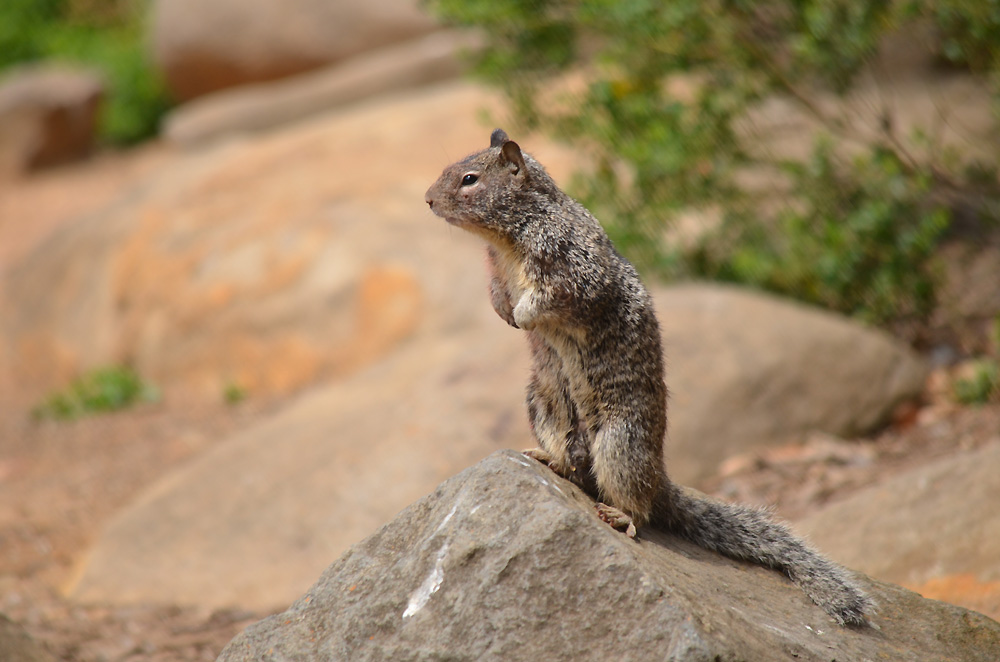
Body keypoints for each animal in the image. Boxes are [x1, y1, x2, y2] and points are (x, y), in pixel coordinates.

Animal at [424, 129, 874, 627]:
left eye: (469, 179)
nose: (427, 199)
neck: (507, 239)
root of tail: (659, 476)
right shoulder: (497, 270)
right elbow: (495, 292)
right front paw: (503, 310)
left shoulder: (571, 265)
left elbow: (552, 296)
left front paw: (522, 315)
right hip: (543, 402)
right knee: (570, 459)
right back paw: (550, 460)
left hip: (620, 444)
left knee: (637, 509)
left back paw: (622, 516)